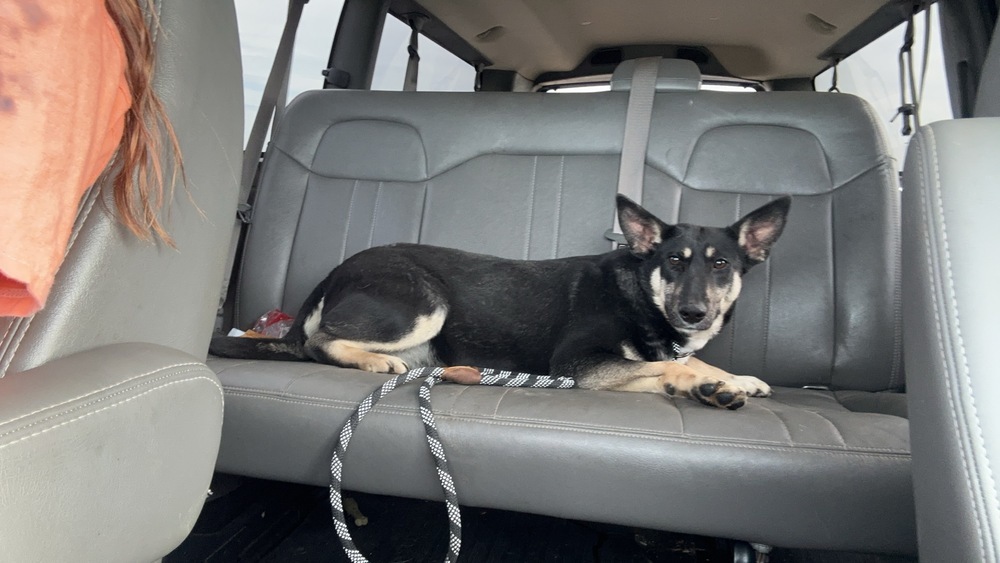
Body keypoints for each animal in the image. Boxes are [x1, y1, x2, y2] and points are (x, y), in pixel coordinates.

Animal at [211, 196, 788, 412]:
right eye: (673, 262)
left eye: (722, 265)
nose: (693, 313)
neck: (642, 295)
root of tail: (340, 268)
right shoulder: (578, 365)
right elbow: (666, 365)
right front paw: (700, 382)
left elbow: (684, 361)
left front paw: (733, 380)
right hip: (424, 303)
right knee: (319, 340)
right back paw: (373, 361)